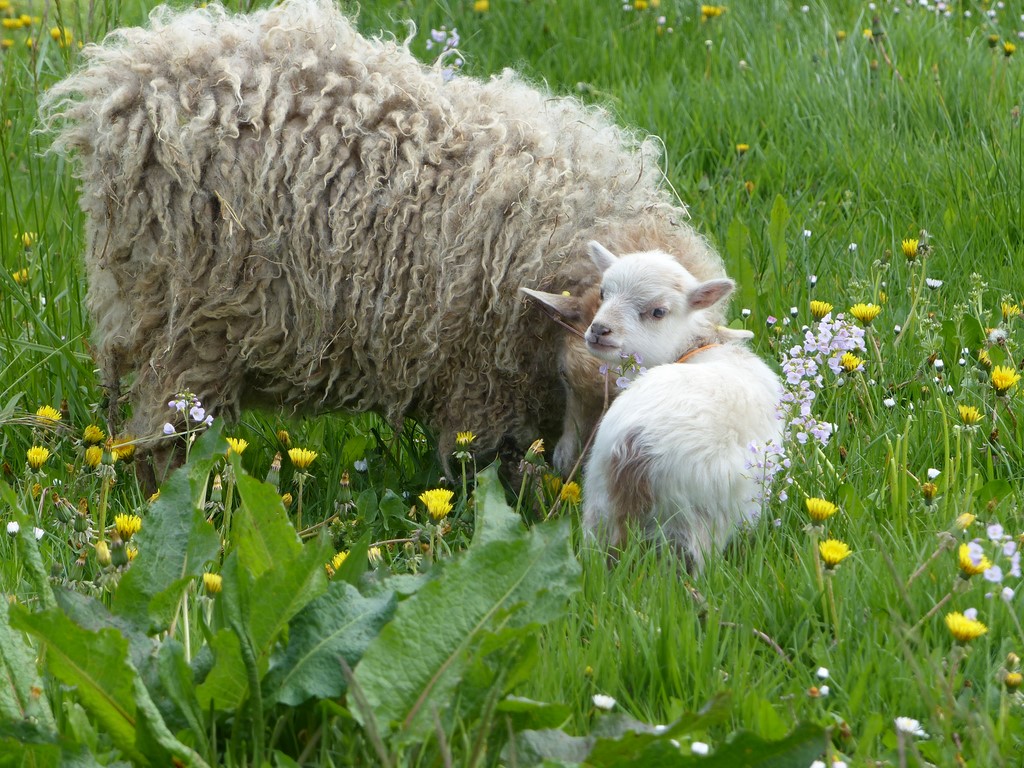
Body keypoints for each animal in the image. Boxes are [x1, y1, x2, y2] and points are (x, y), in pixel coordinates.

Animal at [41, 0, 729, 481]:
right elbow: (479, 466)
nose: (579, 474)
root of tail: (131, 77)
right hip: (187, 325)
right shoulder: (482, 384)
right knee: (166, 433)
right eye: (571, 378)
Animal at [577, 243, 782, 573]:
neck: (694, 347)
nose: (599, 330)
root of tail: (632, 447)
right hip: (696, 519)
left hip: (598, 499)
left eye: (658, 312)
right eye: (602, 293)